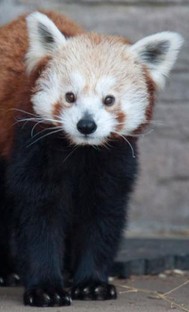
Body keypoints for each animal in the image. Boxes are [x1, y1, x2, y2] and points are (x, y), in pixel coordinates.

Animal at [0, 10, 183, 308]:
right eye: (70, 96)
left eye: (109, 100)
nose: (86, 125)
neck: (80, 150)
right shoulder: (31, 148)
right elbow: (39, 216)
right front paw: (46, 288)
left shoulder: (114, 161)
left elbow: (102, 217)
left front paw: (91, 283)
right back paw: (6, 271)